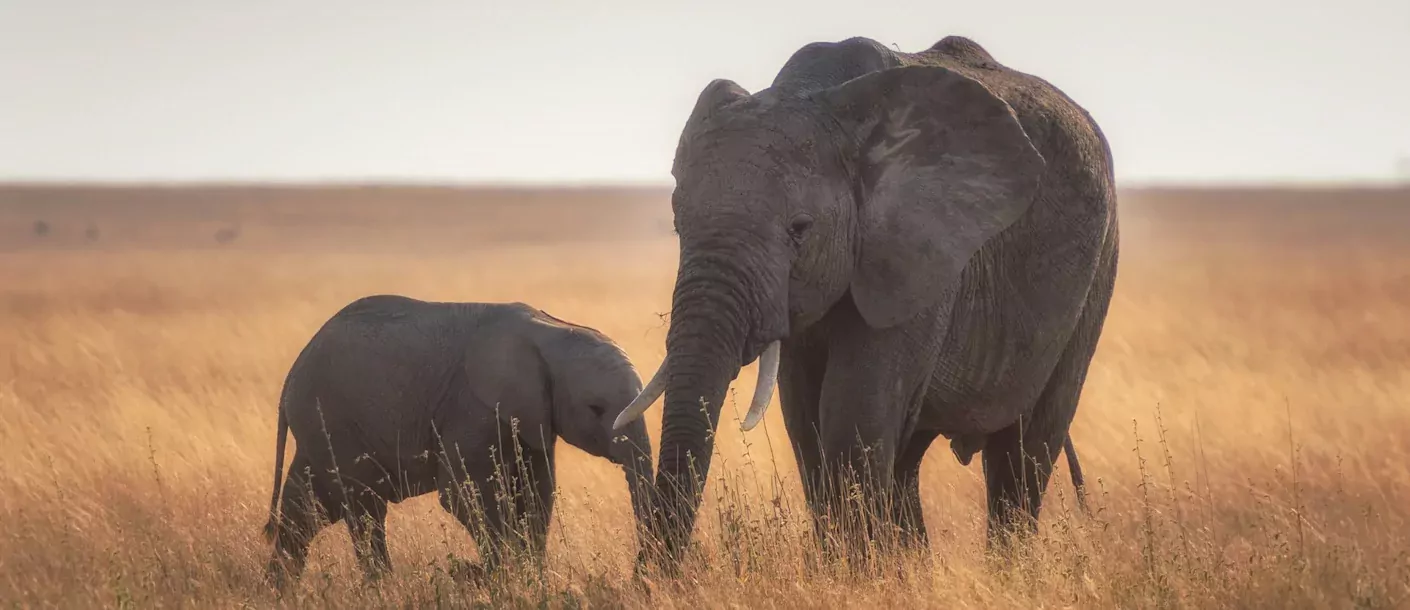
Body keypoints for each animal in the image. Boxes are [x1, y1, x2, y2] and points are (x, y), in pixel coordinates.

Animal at [262, 294, 651, 586]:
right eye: (596, 408)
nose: (639, 578)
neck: (552, 330)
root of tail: (290, 377)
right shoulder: (471, 406)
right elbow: (464, 493)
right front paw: (501, 579)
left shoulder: (533, 416)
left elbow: (537, 491)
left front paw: (531, 580)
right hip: (331, 420)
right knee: (364, 507)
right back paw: (382, 588)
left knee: (306, 508)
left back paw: (279, 590)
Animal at [617, 34, 1122, 566]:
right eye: (678, 224)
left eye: (800, 229)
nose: (650, 577)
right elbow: (805, 420)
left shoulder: (919, 252)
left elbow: (852, 415)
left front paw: (857, 574)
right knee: (909, 459)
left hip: (1097, 271)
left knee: (1025, 451)